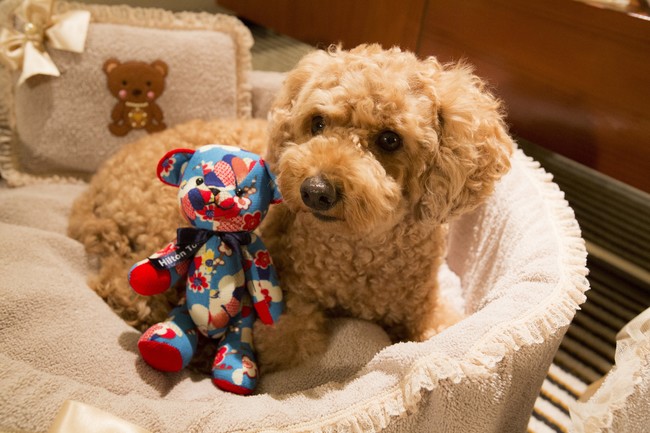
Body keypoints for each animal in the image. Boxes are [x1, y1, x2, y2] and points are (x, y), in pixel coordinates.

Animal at [129, 143, 284, 394]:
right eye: (199, 180)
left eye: (241, 192)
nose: (213, 189)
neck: (216, 235)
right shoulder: (189, 238)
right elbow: (166, 262)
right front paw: (140, 276)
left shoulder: (254, 248)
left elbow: (265, 283)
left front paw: (274, 313)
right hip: (184, 308)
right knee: (179, 324)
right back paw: (162, 348)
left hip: (240, 316)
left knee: (237, 337)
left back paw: (234, 369)